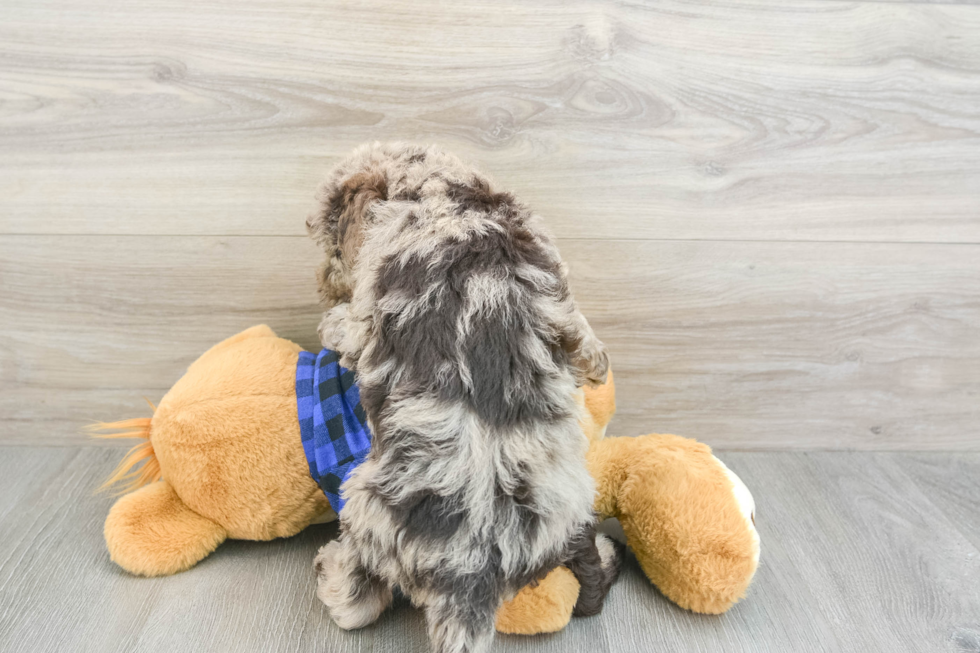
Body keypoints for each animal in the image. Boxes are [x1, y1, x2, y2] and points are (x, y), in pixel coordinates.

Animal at [310, 143, 616, 652]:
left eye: (331, 244)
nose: (323, 282)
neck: (451, 199)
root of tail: (470, 575)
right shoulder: (557, 285)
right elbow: (582, 332)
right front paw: (596, 364)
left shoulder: (366, 313)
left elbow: (346, 327)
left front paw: (328, 321)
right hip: (566, 511)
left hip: (364, 509)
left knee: (357, 602)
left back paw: (329, 574)